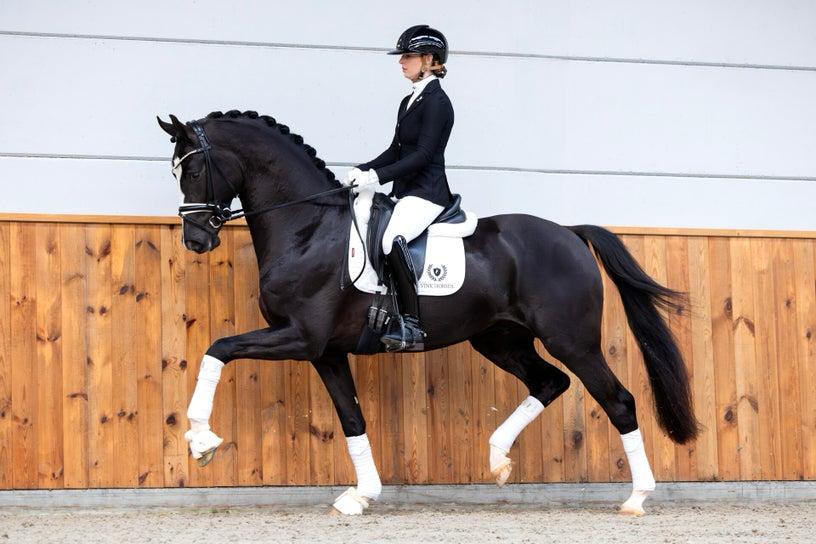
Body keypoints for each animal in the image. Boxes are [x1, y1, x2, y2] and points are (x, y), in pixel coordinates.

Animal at [157, 109, 699, 516]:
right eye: (176, 171)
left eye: (194, 170)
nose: (196, 240)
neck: (307, 228)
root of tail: (569, 232)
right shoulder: (325, 351)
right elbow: (352, 418)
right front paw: (362, 496)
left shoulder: (300, 337)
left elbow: (218, 349)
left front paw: (201, 441)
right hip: (499, 338)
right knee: (549, 382)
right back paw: (498, 459)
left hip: (573, 340)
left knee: (618, 400)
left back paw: (636, 498)